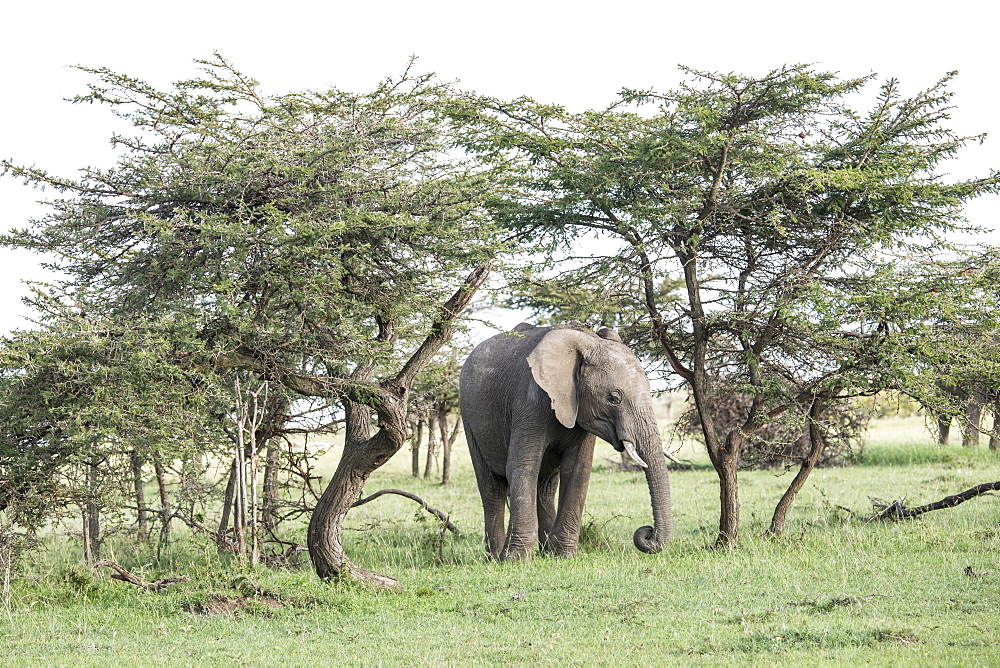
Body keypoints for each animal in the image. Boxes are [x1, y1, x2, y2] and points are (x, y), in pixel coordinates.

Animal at [458, 320, 676, 560]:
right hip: (469, 418)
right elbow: (522, 466)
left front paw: (563, 556)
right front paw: (515, 560)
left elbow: (578, 469)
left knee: (544, 488)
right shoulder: (530, 401)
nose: (646, 533)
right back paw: (496, 557)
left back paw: (545, 552)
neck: (586, 341)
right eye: (614, 398)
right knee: (492, 487)